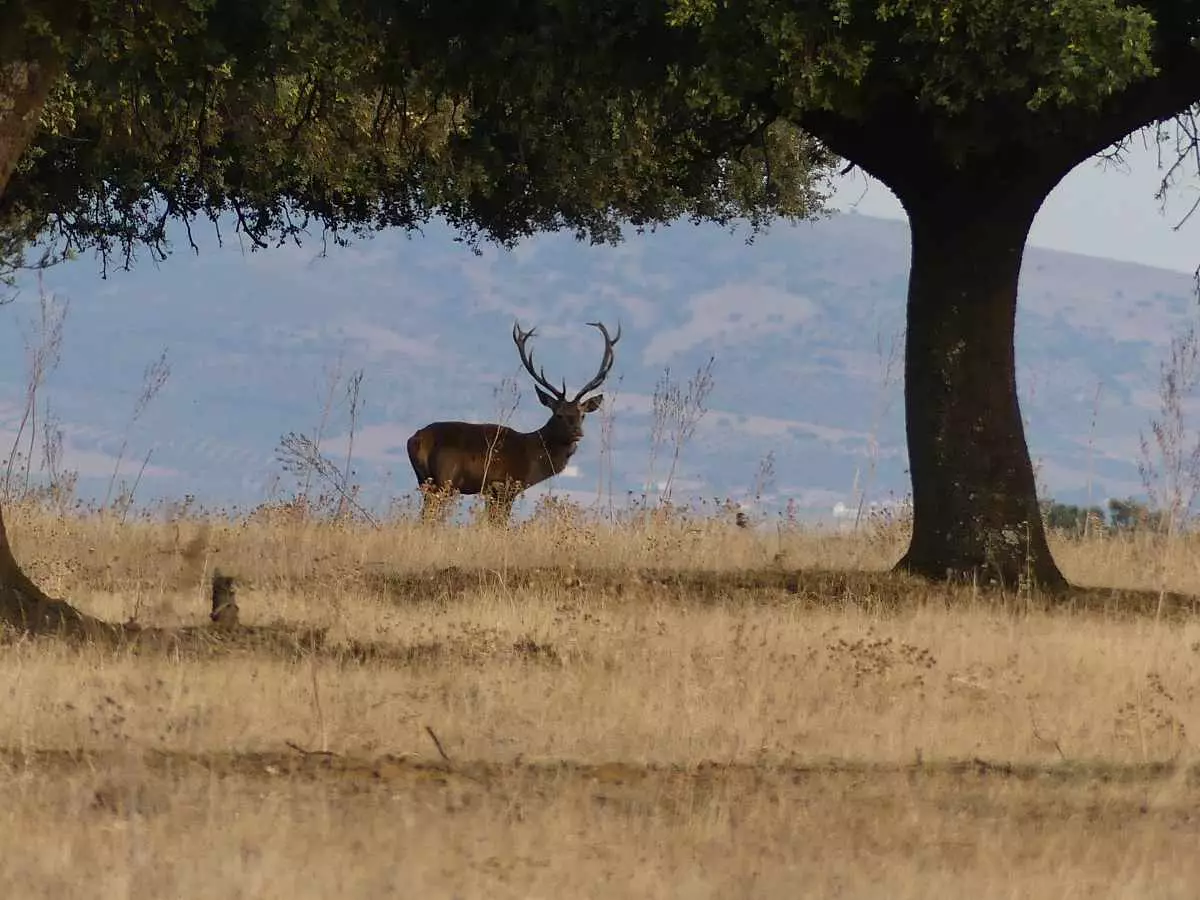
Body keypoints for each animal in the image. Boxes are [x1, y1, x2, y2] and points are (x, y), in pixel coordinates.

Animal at [408, 321, 624, 525]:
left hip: (425, 481)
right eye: (558, 414)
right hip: (444, 480)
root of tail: (415, 440)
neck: (532, 458)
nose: (578, 432)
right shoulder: (504, 485)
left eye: (582, 415)